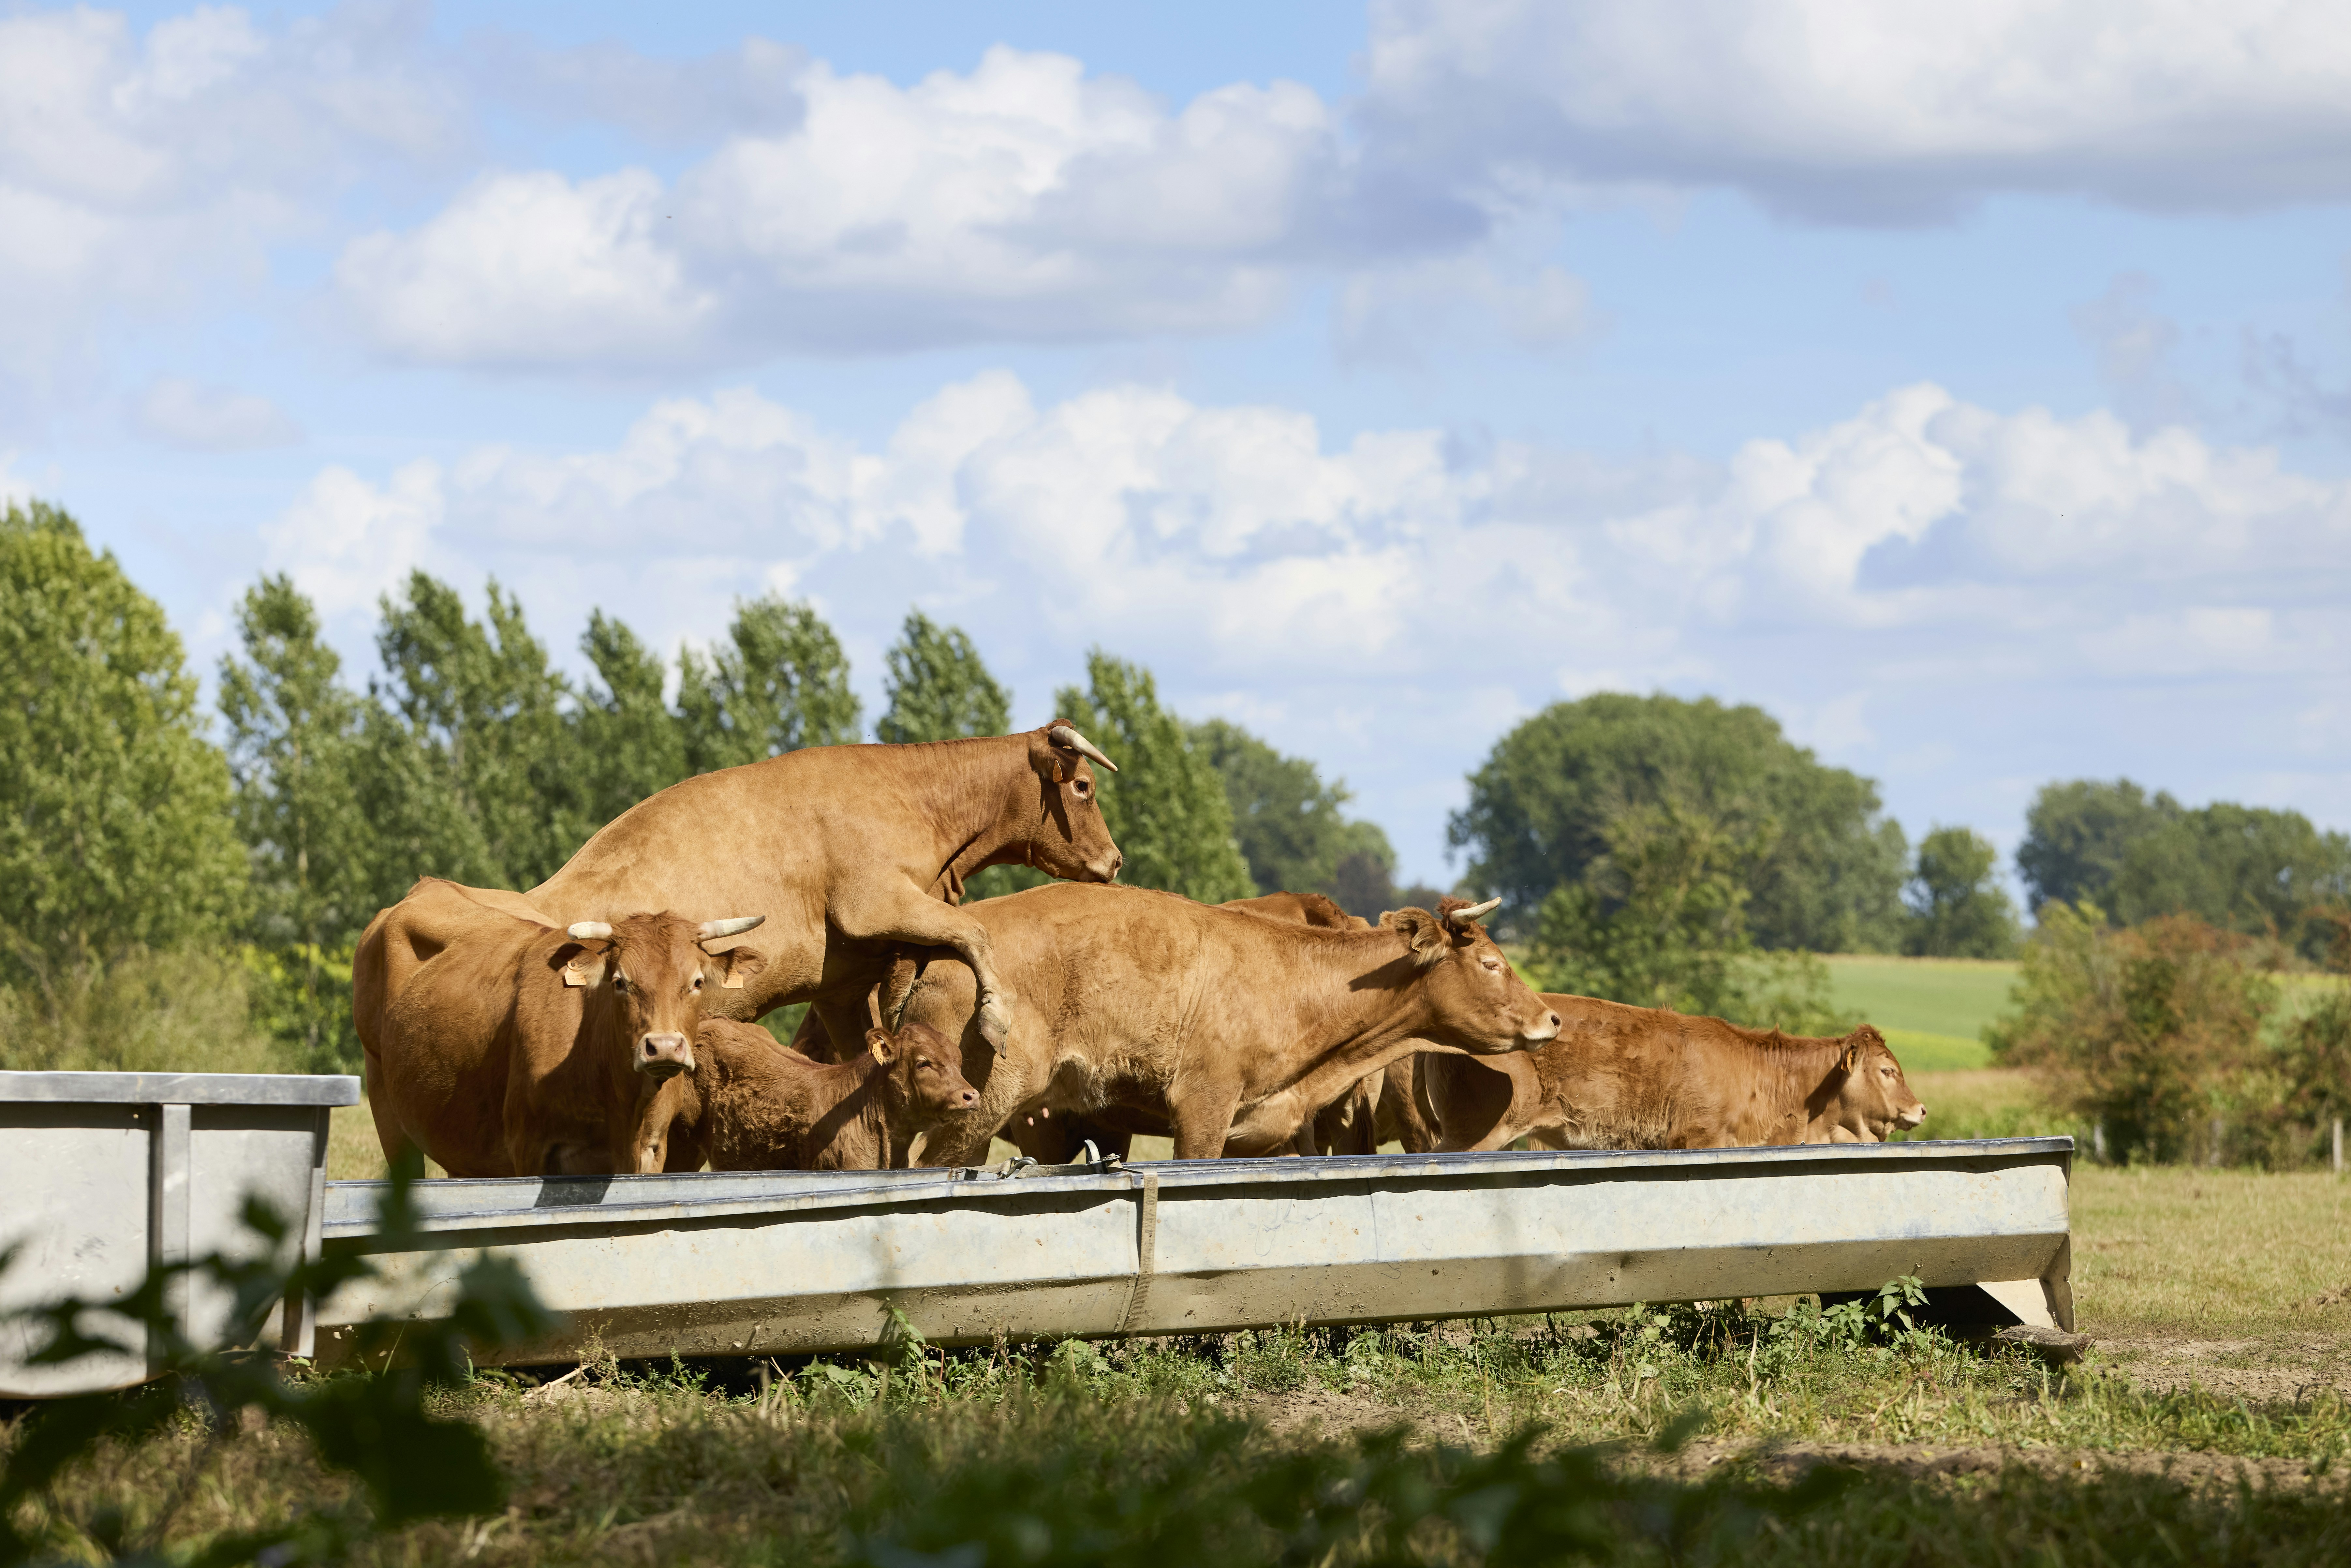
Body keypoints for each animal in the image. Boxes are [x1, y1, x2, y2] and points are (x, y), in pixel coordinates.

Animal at [363, 878, 766, 1177]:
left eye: (697, 982)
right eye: (620, 982)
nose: (664, 1047)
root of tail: (431, 884)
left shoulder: (653, 1148)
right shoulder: (529, 1149)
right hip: (384, 1100)